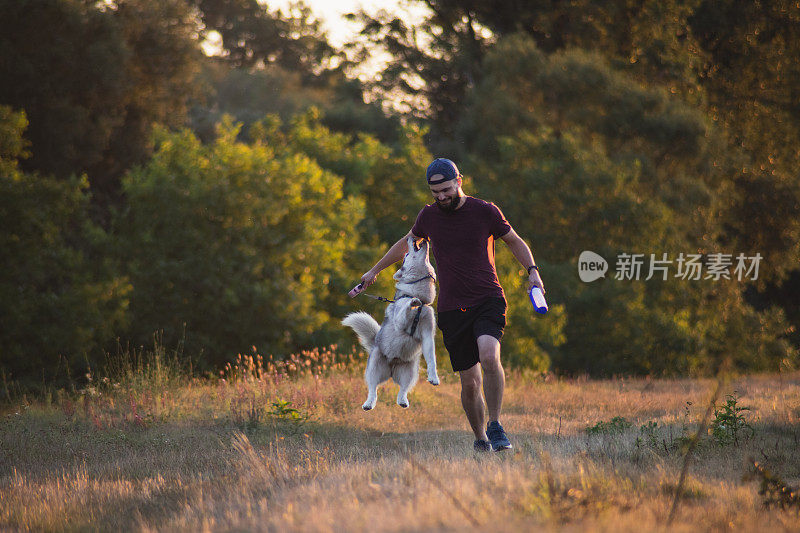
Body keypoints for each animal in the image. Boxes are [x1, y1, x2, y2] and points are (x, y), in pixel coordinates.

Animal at [342, 235, 438, 410]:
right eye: (405, 256)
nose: (411, 237)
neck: (422, 301)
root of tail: (392, 367)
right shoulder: (400, 320)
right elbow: (405, 308)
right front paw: (412, 302)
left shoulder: (428, 333)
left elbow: (432, 360)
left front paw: (434, 377)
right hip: (374, 364)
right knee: (373, 387)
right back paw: (369, 403)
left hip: (411, 371)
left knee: (404, 388)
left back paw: (403, 400)